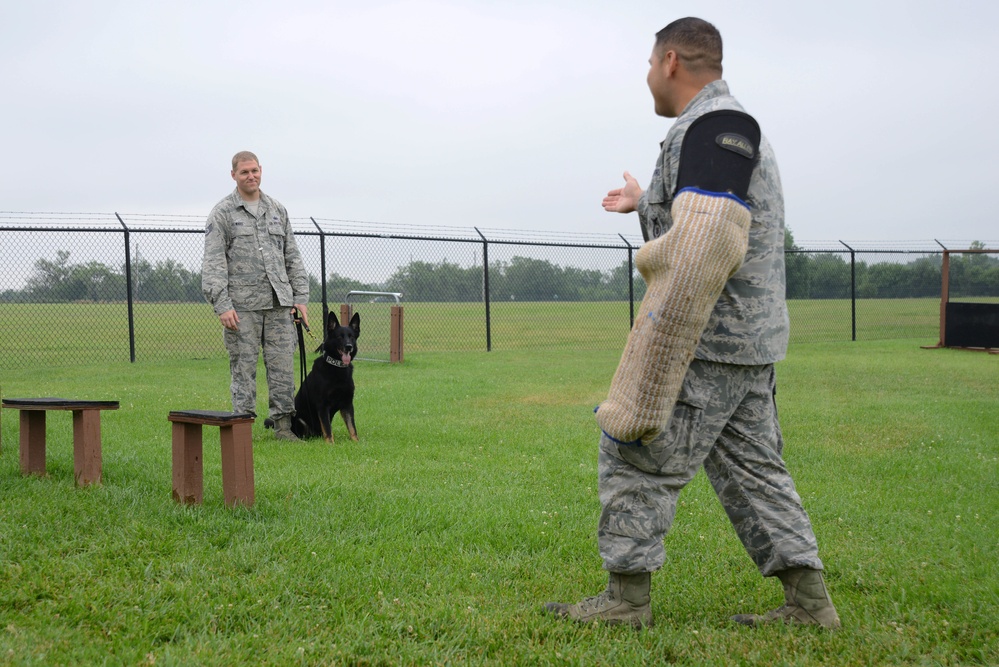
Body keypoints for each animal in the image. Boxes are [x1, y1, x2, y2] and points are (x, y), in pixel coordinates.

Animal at [292, 314, 362, 444]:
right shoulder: (323, 405)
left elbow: (352, 427)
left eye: (352, 337)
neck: (337, 367)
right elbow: (328, 428)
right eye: (339, 337)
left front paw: (356, 442)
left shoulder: (347, 404)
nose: (348, 347)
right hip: (299, 420)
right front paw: (330, 444)